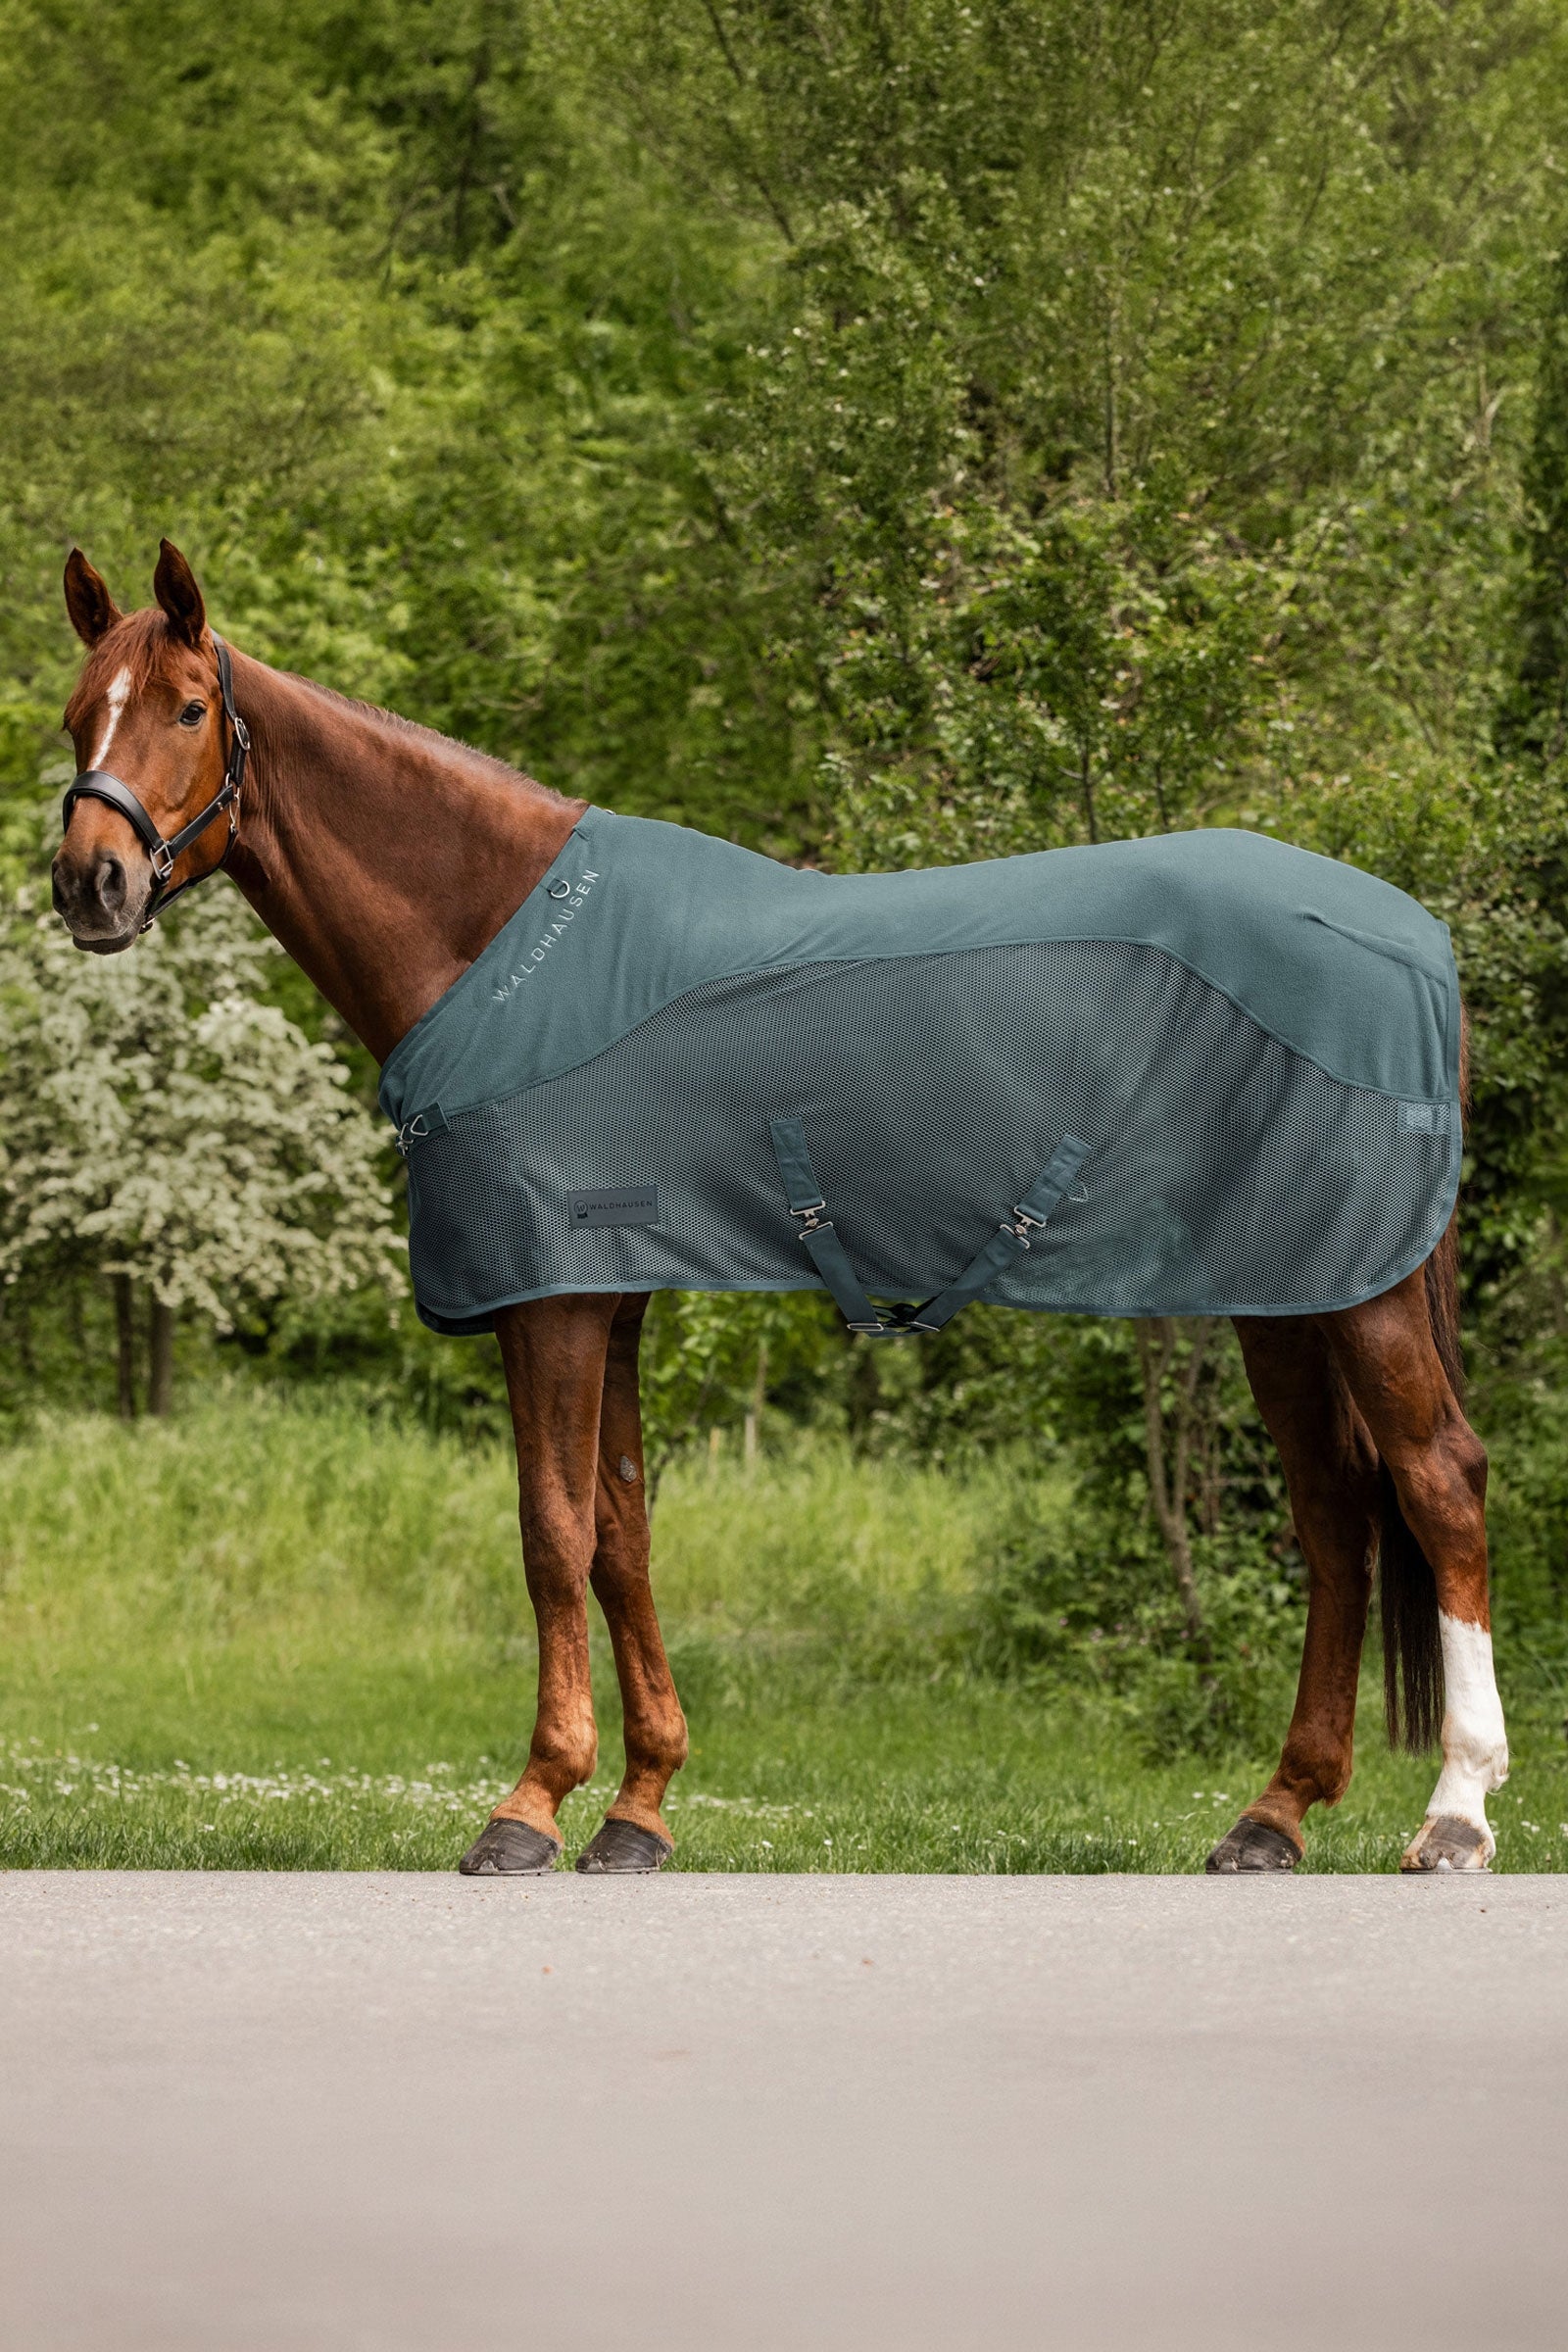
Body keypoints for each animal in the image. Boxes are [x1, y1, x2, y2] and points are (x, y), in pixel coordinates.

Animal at [49, 541, 1509, 1876]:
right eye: (76, 715)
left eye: (188, 708)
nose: (88, 884)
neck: (503, 943)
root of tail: (1412, 936)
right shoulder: (611, 1295)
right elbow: (623, 1536)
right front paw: (637, 1810)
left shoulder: (552, 1295)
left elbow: (551, 1533)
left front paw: (531, 1805)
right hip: (1287, 1295)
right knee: (1334, 1519)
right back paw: (1273, 1817)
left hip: (1362, 1294)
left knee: (1437, 1486)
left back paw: (1454, 1815)